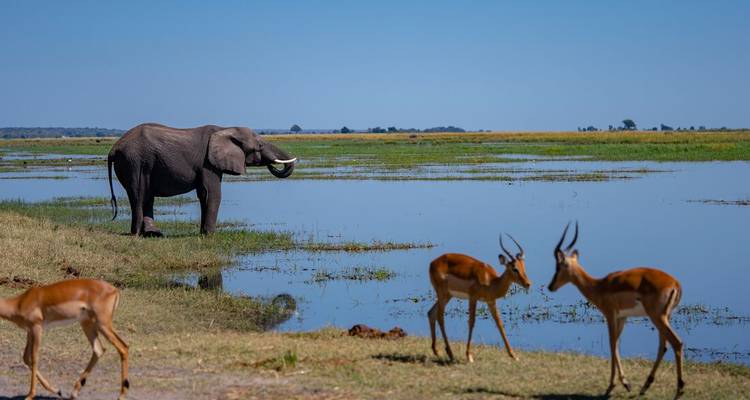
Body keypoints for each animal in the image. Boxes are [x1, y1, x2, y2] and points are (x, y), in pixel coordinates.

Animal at [107, 123, 296, 236]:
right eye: (260, 146)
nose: (272, 163)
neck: (225, 128)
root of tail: (114, 148)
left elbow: (203, 194)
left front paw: (203, 233)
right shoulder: (208, 163)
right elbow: (212, 193)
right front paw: (210, 235)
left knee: (147, 196)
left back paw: (154, 234)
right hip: (135, 162)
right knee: (139, 194)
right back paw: (136, 234)